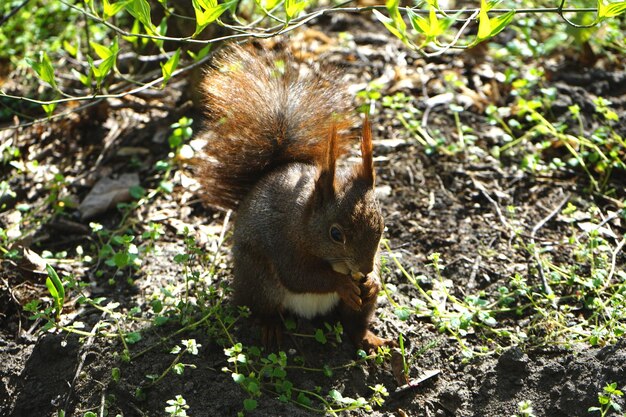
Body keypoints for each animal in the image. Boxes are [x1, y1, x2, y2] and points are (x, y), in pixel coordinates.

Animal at [199, 44, 390, 352]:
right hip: (259, 281)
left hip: (356, 308)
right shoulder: (284, 244)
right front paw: (342, 283)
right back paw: (270, 328)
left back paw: (368, 337)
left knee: (354, 324)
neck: (303, 222)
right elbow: (300, 275)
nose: (364, 270)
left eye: (382, 227)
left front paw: (372, 280)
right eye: (336, 234)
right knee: (265, 309)